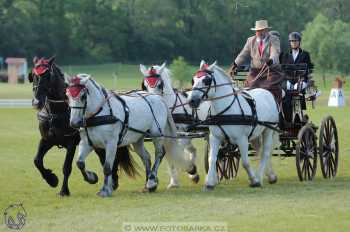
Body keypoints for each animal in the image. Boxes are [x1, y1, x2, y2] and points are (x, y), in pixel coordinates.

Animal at [28, 56, 137, 196]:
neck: (57, 111)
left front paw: (64, 190)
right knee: (105, 160)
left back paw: (111, 182)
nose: (36, 102)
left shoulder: (71, 142)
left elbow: (66, 167)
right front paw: (51, 179)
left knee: (111, 159)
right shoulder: (47, 139)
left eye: (48, 75)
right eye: (33, 75)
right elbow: (37, 160)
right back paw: (112, 182)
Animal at [189, 60, 278, 189]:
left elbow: (245, 162)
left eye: (207, 80)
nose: (192, 101)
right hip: (255, 135)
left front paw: (254, 180)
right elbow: (212, 159)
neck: (226, 110)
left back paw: (259, 177)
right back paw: (270, 176)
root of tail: (267, 92)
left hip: (268, 130)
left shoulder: (242, 139)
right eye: (193, 80)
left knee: (265, 152)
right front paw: (209, 183)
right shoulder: (215, 137)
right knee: (260, 150)